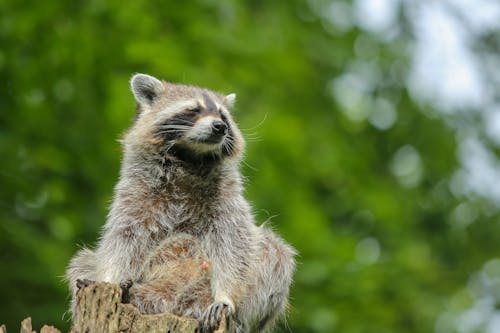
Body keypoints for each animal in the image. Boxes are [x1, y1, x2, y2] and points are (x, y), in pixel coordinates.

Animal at [64, 74, 294, 330]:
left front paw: (226, 296)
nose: (220, 126)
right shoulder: (136, 192)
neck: (190, 157)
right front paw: (109, 277)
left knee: (274, 253)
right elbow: (124, 238)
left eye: (223, 115)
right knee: (83, 261)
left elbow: (234, 244)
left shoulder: (227, 197)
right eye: (194, 110)